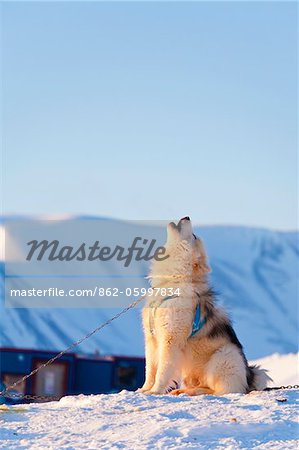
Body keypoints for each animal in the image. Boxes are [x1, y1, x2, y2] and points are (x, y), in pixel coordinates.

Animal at [138, 218, 272, 398]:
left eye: (194, 236)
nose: (187, 216)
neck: (173, 282)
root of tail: (249, 380)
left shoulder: (169, 340)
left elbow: (162, 371)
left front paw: (155, 391)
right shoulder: (151, 339)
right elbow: (150, 370)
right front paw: (144, 390)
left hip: (224, 356)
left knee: (219, 390)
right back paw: (184, 390)